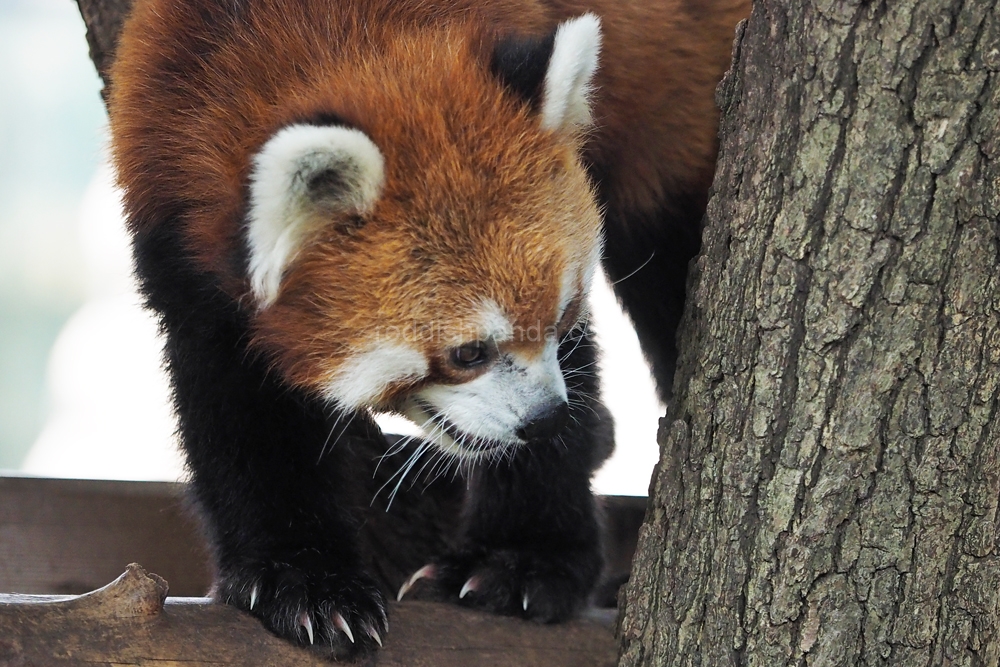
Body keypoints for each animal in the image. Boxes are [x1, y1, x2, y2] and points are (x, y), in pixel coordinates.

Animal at [109, 0, 752, 656]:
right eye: (468, 352)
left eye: (563, 313)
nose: (545, 420)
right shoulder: (173, 214)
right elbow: (241, 415)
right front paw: (304, 580)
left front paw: (523, 558)